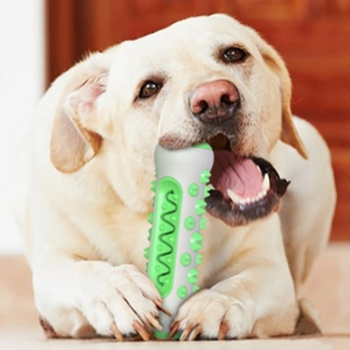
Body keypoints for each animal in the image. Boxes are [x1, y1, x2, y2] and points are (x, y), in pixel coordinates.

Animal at [13, 14, 336, 342]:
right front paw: (119, 292)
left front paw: (216, 304)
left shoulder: (269, 268)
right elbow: (85, 271)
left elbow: (242, 284)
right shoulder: (52, 265)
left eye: (234, 54)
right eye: (148, 88)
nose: (215, 99)